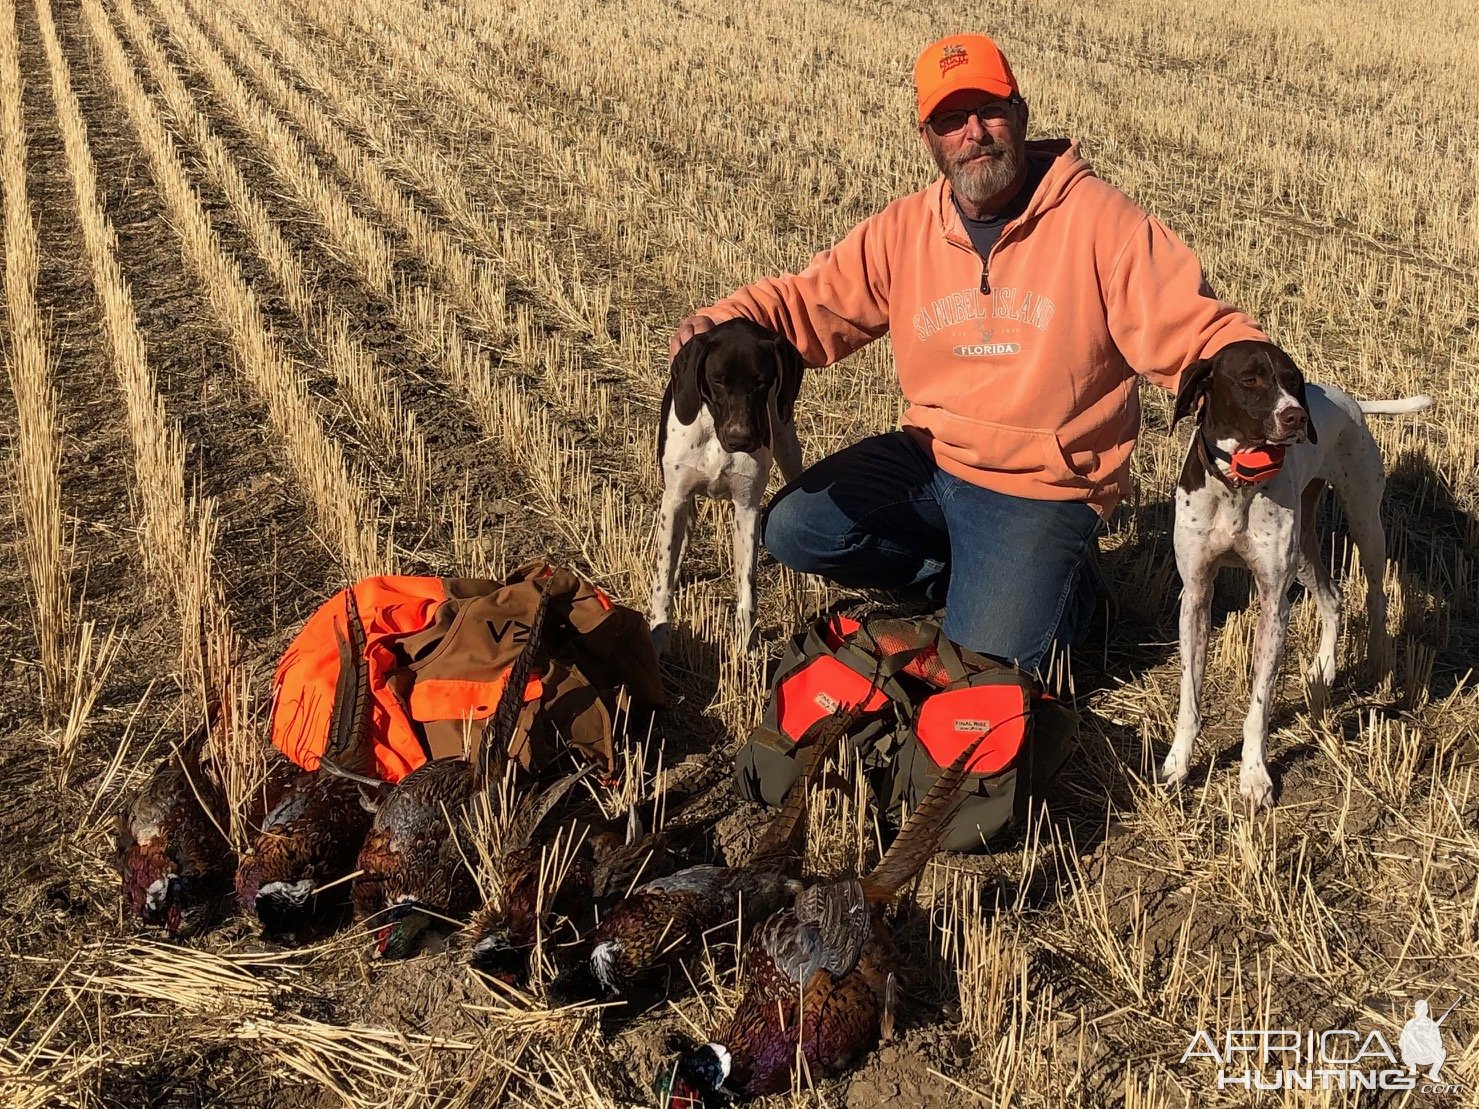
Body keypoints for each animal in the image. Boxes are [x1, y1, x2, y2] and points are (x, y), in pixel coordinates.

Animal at [650, 316, 804, 656]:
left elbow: (747, 587)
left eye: (762, 381)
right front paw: (659, 635)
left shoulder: (747, 508)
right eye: (717, 380)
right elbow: (662, 578)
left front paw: (746, 649)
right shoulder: (674, 499)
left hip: (788, 446)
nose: (740, 440)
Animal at [1165, 338, 1431, 810]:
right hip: (1305, 551)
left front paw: (1255, 776)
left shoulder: (1275, 604)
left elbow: (1259, 706)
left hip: (1365, 522)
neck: (1237, 486)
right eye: (1250, 379)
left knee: (1377, 594)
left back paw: (1379, 660)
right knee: (1333, 597)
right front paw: (1178, 763)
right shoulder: (1195, 595)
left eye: (1291, 379)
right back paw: (1324, 668)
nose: (1296, 417)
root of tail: (1351, 402)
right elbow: (1189, 698)